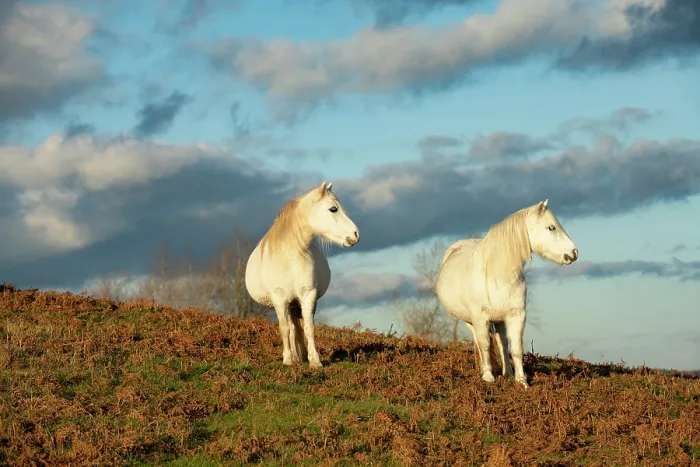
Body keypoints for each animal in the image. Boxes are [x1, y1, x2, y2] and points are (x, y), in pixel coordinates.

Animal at [245, 181, 360, 368]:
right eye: (333, 209)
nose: (355, 234)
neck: (290, 257)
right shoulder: (279, 299)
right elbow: (284, 328)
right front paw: (287, 360)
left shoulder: (308, 295)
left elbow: (309, 328)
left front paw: (315, 361)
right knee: (291, 328)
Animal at [435, 200, 578, 388]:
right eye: (551, 227)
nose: (574, 253)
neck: (497, 275)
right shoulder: (480, 318)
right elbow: (485, 345)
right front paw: (488, 376)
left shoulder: (517, 315)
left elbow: (516, 348)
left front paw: (522, 381)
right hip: (470, 321)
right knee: (480, 342)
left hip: (500, 320)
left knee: (502, 343)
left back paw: (507, 373)